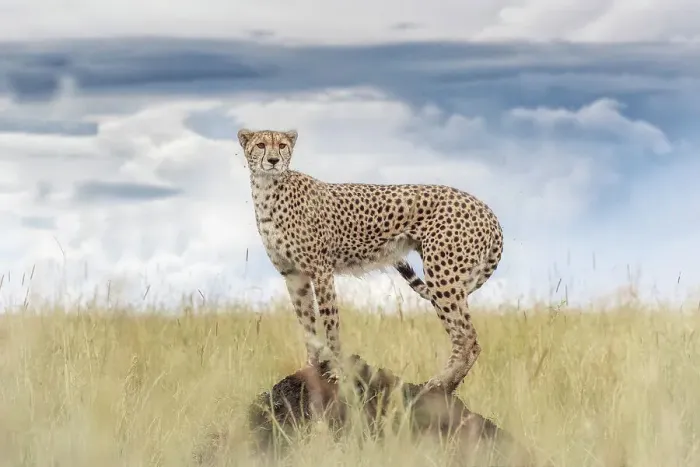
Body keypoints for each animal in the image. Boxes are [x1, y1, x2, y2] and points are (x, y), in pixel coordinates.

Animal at [236, 128, 504, 392]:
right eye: (261, 145)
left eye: (281, 145)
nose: (273, 160)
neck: (268, 189)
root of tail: (487, 211)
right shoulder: (294, 275)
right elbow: (308, 326)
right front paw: (310, 369)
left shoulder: (321, 270)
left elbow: (330, 323)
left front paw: (336, 372)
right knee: (465, 335)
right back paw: (446, 384)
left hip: (442, 275)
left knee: (467, 337)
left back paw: (440, 383)